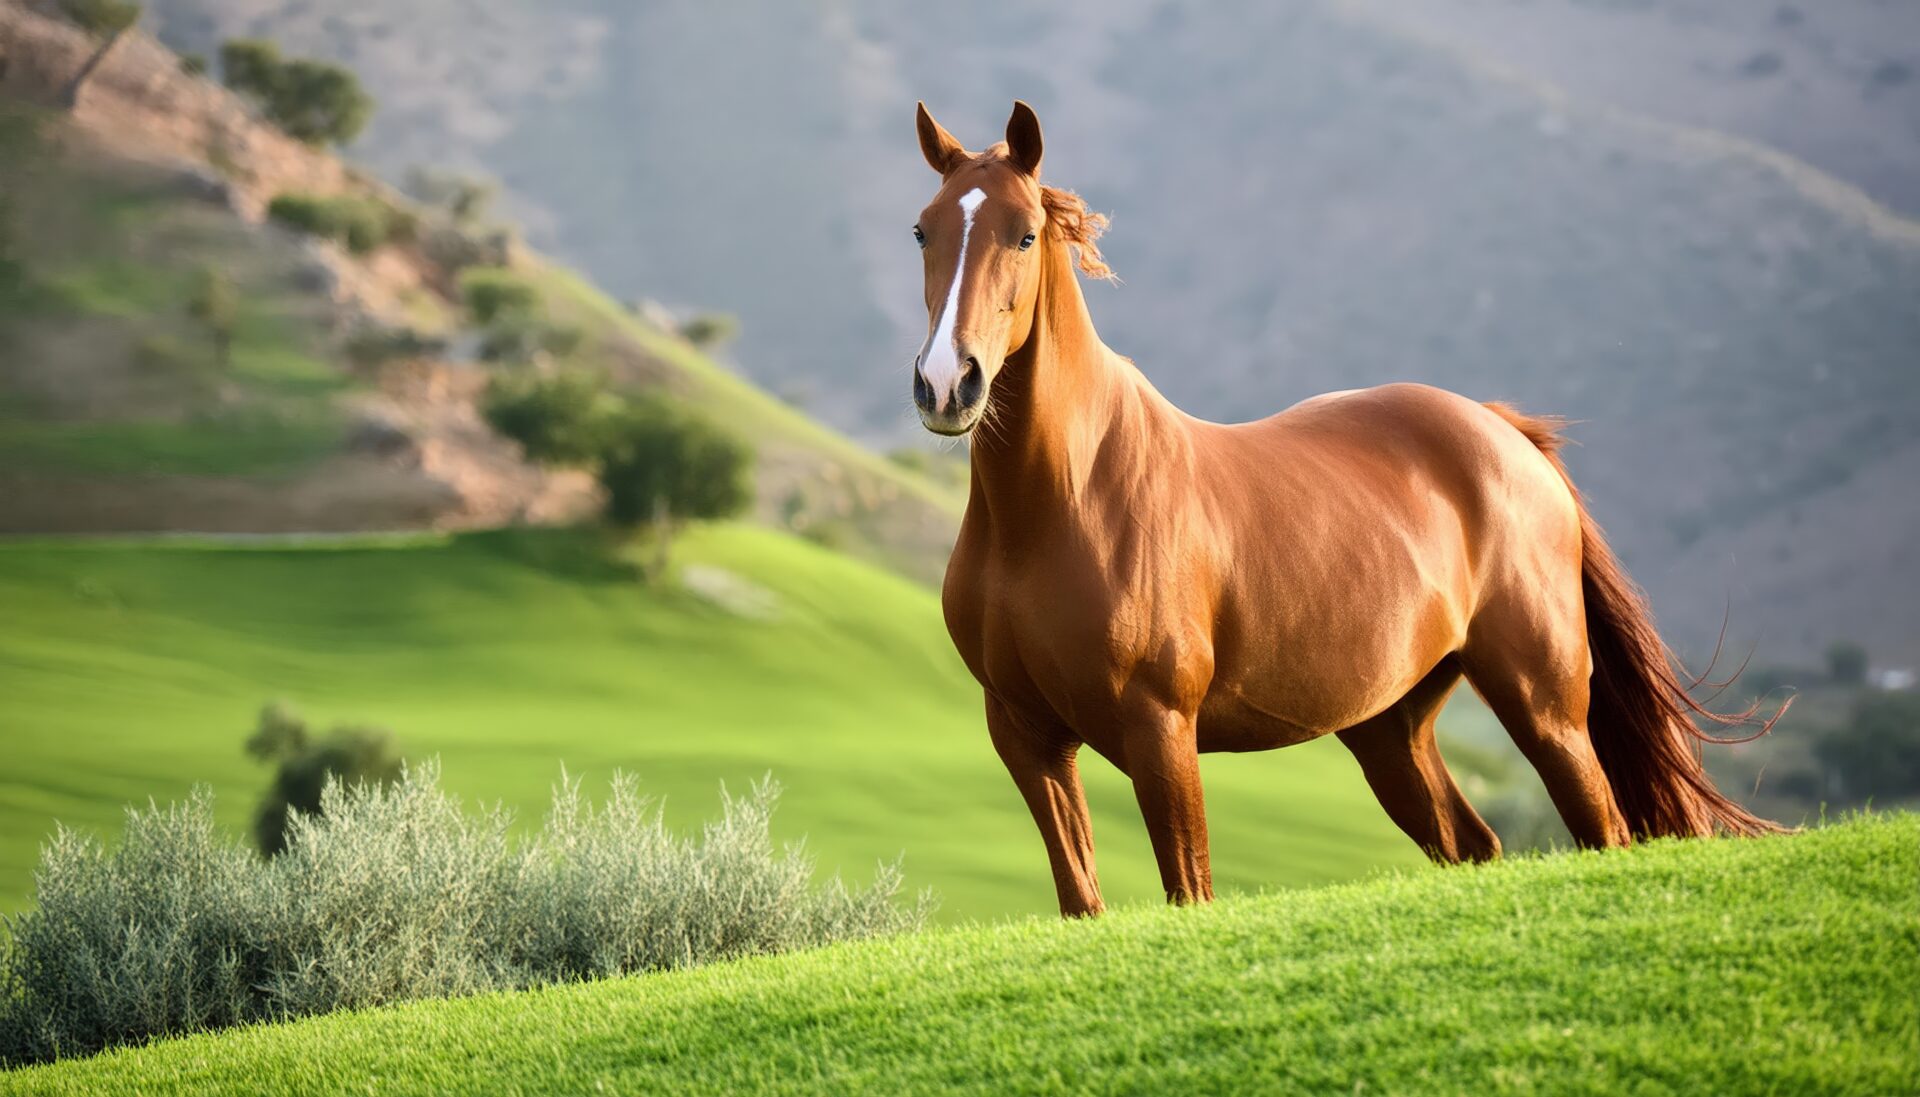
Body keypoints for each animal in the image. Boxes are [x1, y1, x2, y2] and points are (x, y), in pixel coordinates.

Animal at [907, 101, 1783, 918]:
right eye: (923, 231)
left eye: (1024, 236)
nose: (948, 384)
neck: (1057, 507)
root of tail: (1505, 431)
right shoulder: (1027, 735)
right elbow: (1082, 900)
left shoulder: (1160, 730)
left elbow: (1190, 891)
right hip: (1391, 726)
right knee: (1473, 843)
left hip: (1547, 708)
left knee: (1604, 829)